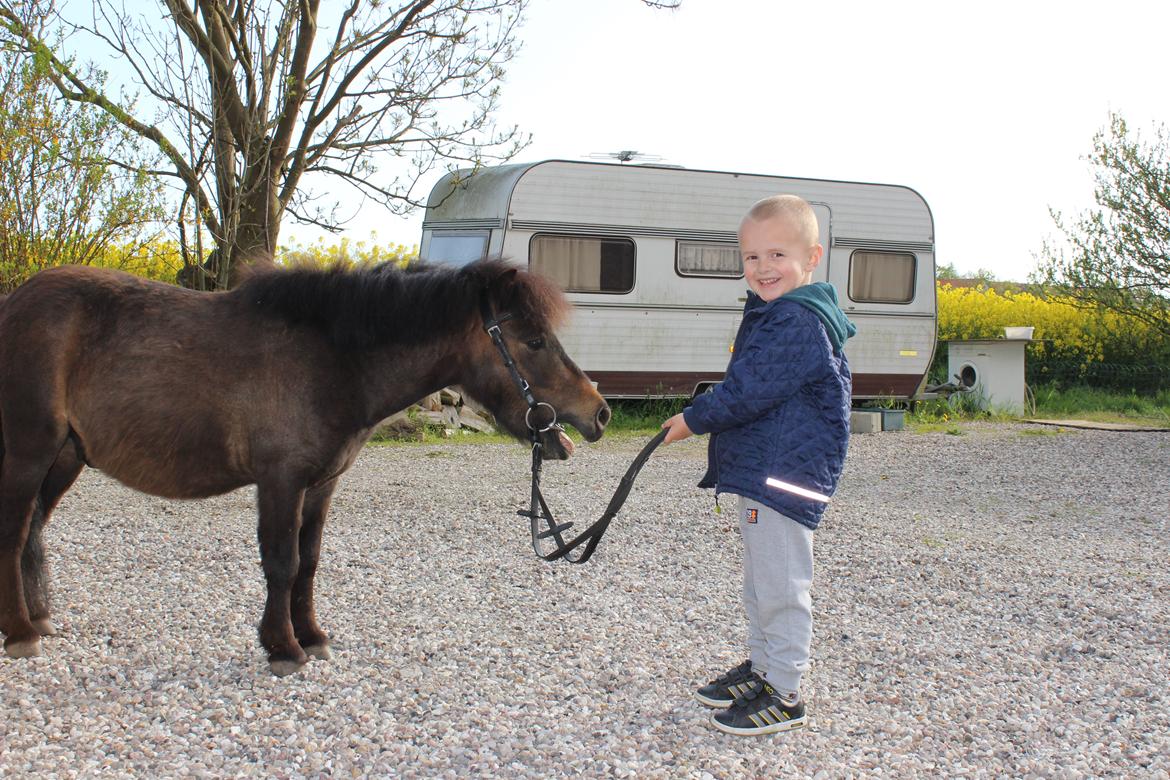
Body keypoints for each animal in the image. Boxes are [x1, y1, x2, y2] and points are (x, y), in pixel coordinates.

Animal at [2, 259, 613, 673]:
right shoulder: (281, 481)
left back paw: (38, 620)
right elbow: (281, 562)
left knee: (33, 531)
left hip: (65, 458)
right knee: (14, 534)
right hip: (29, 453)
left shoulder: (321, 486)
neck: (335, 361)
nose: (600, 411)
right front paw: (282, 647)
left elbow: (309, 562)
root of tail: (15, 303)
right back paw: (19, 633)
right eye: (533, 340)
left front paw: (312, 635)